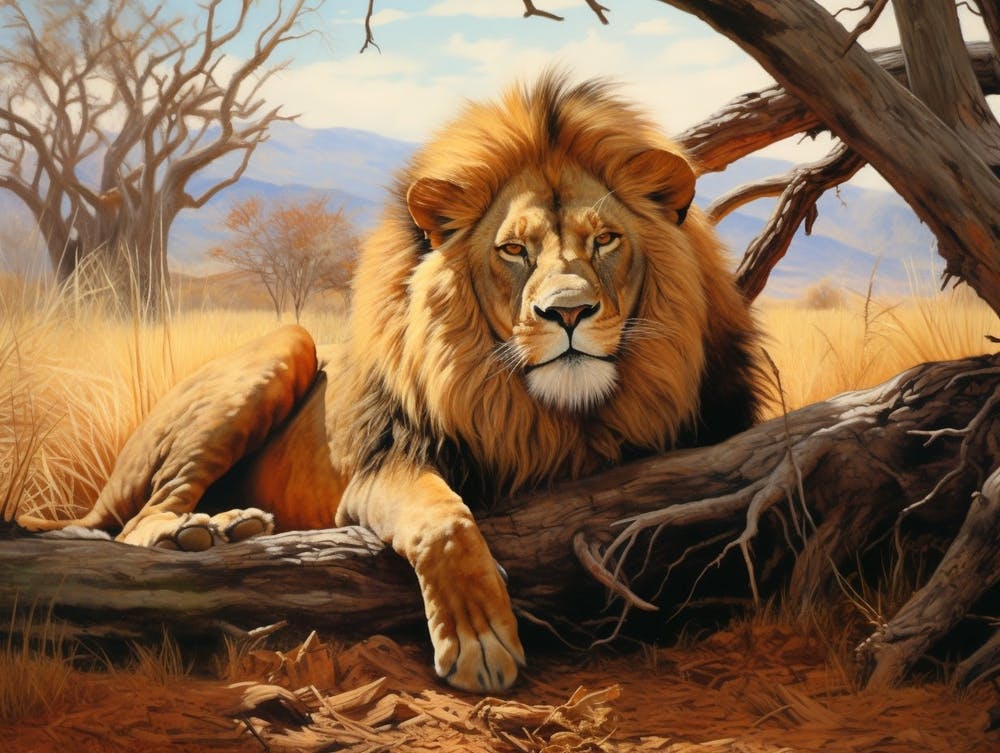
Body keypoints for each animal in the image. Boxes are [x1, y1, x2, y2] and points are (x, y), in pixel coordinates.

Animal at [19, 73, 763, 693]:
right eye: (513, 250)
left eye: (605, 240)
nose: (569, 312)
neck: (555, 415)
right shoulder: (382, 471)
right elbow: (444, 521)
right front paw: (481, 643)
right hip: (284, 345)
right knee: (137, 521)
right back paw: (190, 535)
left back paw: (233, 526)